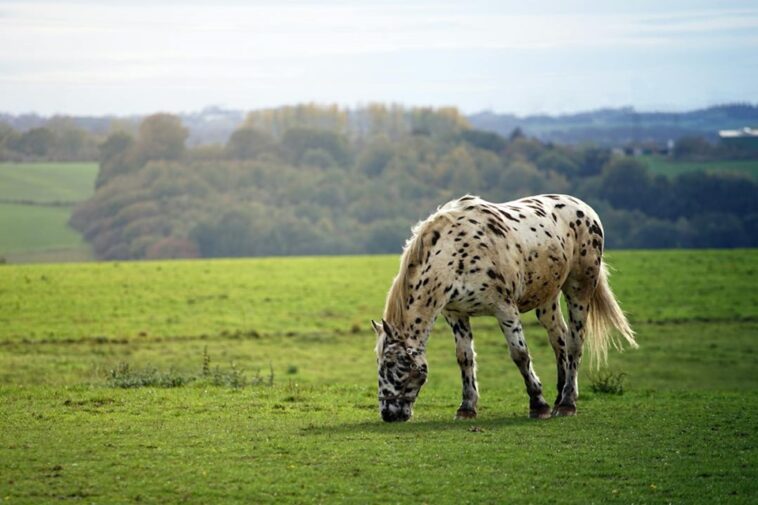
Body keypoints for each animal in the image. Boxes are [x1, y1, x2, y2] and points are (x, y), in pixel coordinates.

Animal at [372, 194, 637, 422]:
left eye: (394, 364)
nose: (388, 414)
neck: (456, 254)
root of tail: (586, 209)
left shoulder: (505, 309)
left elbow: (520, 355)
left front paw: (538, 404)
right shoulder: (456, 314)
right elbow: (464, 358)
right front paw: (467, 408)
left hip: (579, 288)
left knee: (574, 342)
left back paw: (567, 403)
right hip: (547, 298)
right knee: (559, 339)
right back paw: (559, 395)